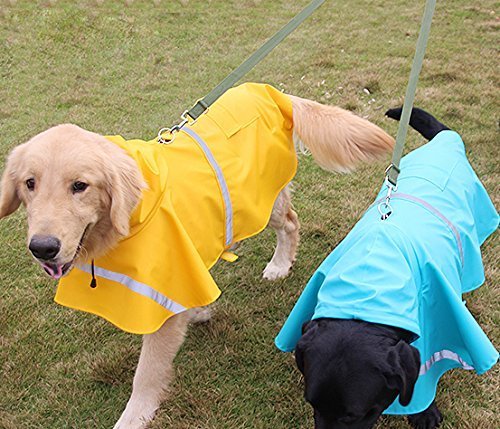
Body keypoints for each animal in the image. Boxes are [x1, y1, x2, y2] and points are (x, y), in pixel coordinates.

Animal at [0, 82, 394, 426]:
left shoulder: (162, 293)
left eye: (80, 186)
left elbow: (147, 372)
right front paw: (201, 310)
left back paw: (280, 264)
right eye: (29, 184)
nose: (42, 247)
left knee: (291, 223)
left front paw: (134, 416)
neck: (128, 218)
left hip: (262, 204)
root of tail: (271, 92)